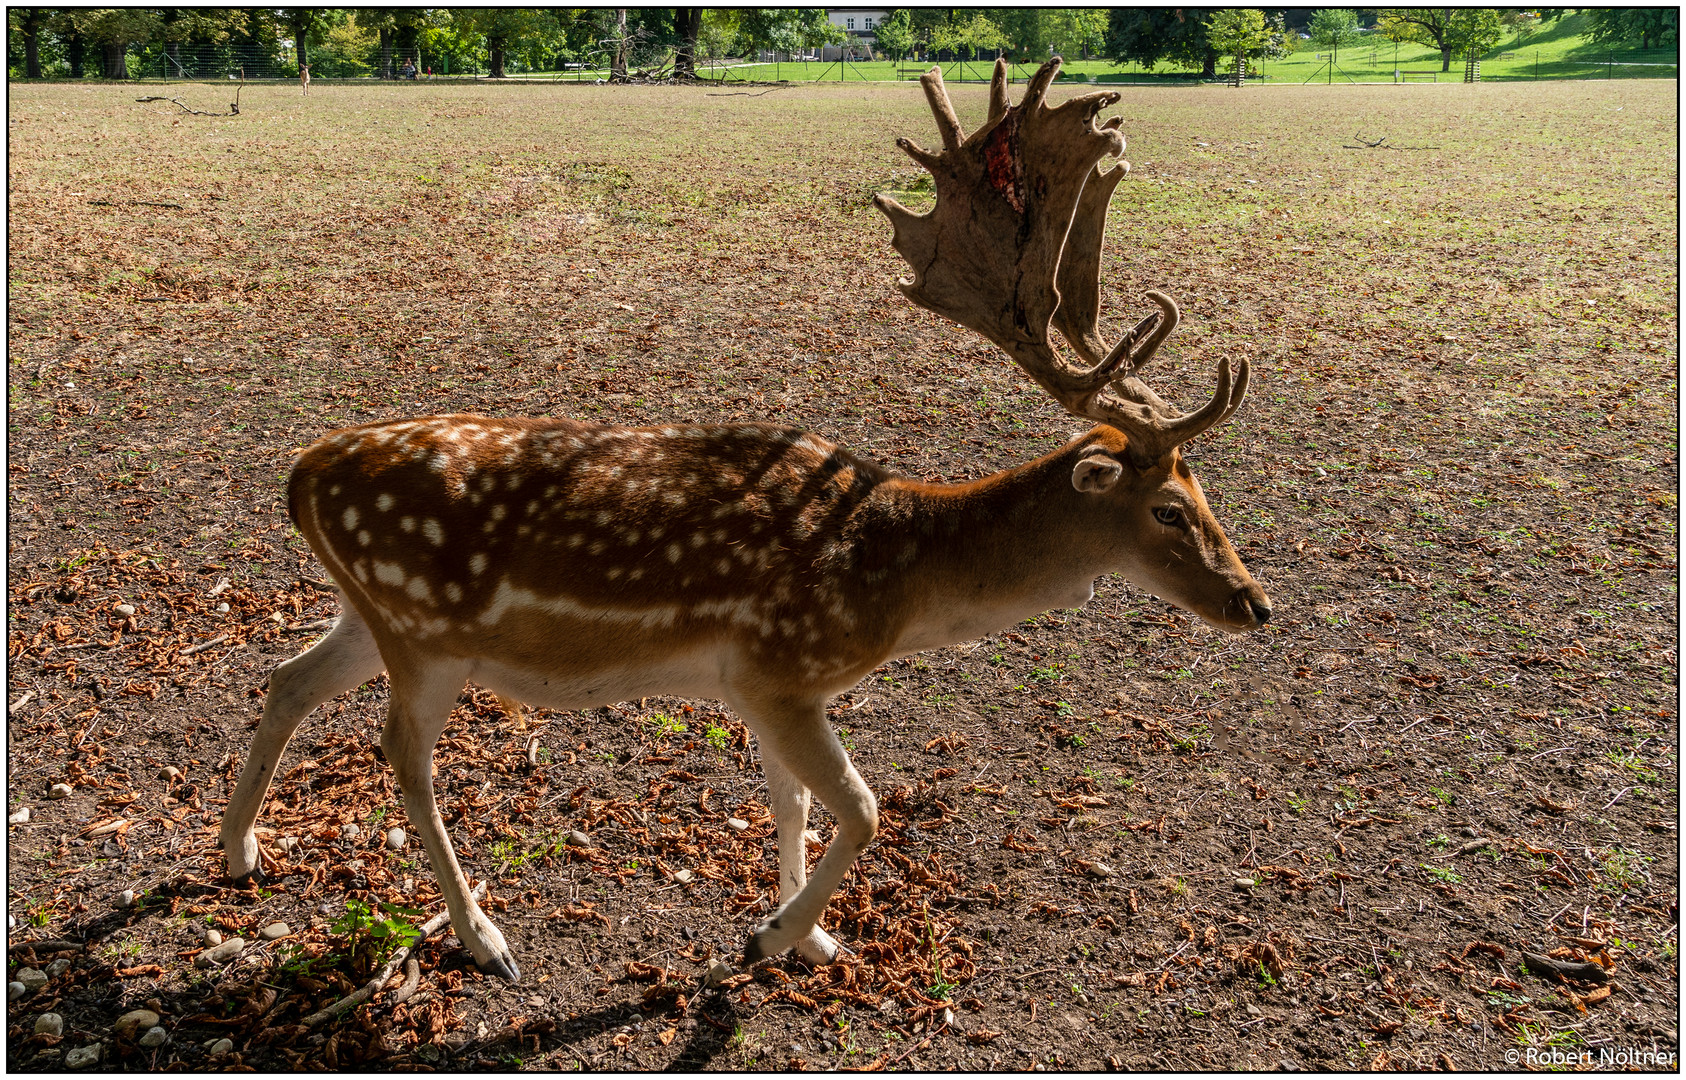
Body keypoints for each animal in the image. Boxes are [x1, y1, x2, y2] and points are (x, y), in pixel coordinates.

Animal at [217, 61, 1267, 983]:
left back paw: (239, 851)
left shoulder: (768, 689)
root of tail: (301, 475)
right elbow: (864, 809)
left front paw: (809, 940)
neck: (896, 582)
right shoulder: (779, 666)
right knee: (400, 753)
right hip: (425, 634)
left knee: (288, 678)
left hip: (374, 615)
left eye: (1209, 493)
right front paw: (771, 936)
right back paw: (484, 938)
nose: (1255, 605)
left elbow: (794, 804)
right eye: (1170, 509)